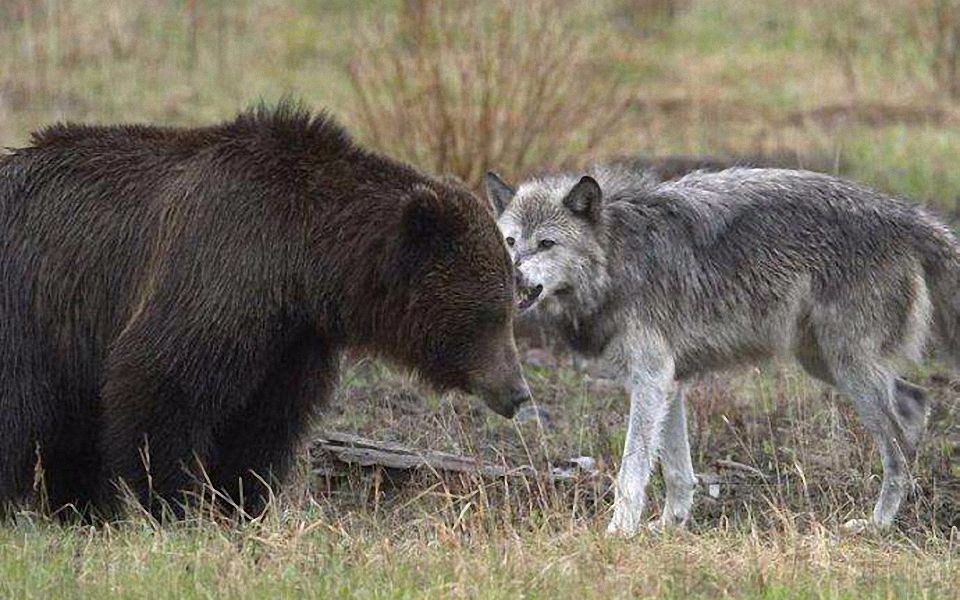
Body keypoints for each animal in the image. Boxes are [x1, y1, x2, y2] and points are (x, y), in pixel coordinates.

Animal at [0, 102, 532, 516]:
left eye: (510, 307)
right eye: (490, 314)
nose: (518, 392)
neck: (303, 262)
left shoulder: (292, 340)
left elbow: (265, 424)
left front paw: (240, 501)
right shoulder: (220, 267)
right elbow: (159, 381)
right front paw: (178, 502)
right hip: (33, 311)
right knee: (22, 410)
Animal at [488, 165, 960, 536]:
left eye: (546, 244)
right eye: (510, 242)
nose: (513, 277)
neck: (618, 257)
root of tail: (910, 216)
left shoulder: (651, 380)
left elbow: (631, 472)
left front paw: (618, 533)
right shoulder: (669, 383)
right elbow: (677, 471)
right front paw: (668, 526)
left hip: (847, 368)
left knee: (897, 446)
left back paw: (879, 524)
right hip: (824, 362)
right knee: (915, 403)